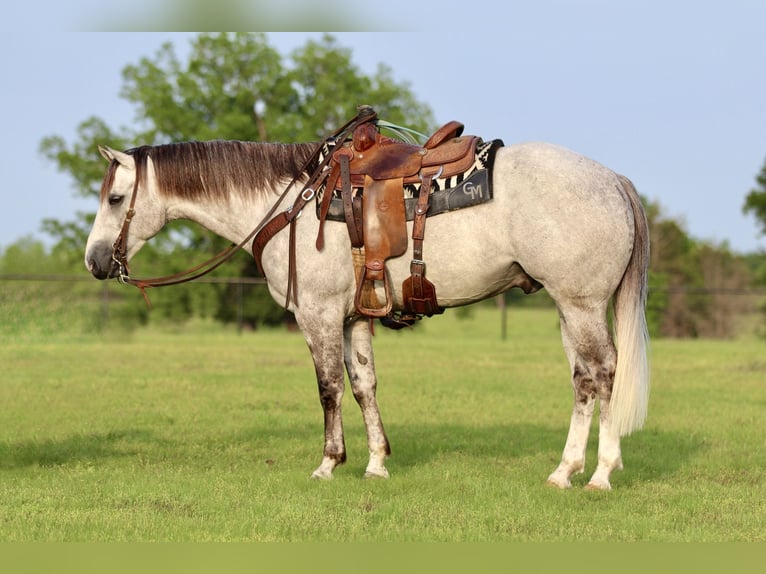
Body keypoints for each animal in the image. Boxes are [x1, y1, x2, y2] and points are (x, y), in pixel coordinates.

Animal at [84, 128, 652, 492]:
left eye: (114, 199)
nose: (94, 260)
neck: (291, 204)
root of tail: (612, 179)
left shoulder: (317, 316)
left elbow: (329, 388)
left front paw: (329, 463)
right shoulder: (355, 318)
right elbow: (363, 386)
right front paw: (377, 464)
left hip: (581, 306)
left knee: (604, 373)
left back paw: (601, 474)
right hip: (568, 309)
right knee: (582, 380)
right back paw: (564, 471)